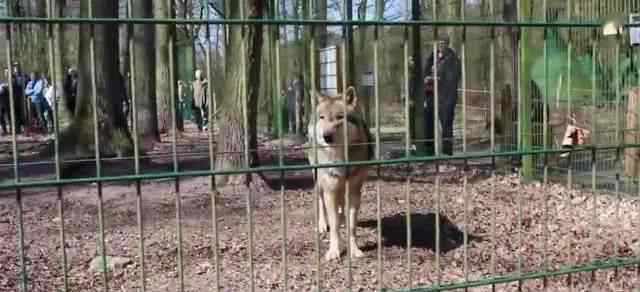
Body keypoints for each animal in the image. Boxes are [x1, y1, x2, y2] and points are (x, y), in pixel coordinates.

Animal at [306, 86, 372, 260]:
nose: (326, 136)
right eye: (322, 117)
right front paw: (334, 252)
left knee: (342, 205)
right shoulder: (330, 190)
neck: (341, 158)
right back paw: (322, 225)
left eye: (340, 117)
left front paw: (354, 250)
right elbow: (334, 225)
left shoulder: (354, 191)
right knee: (321, 201)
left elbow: (352, 227)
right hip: (318, 180)